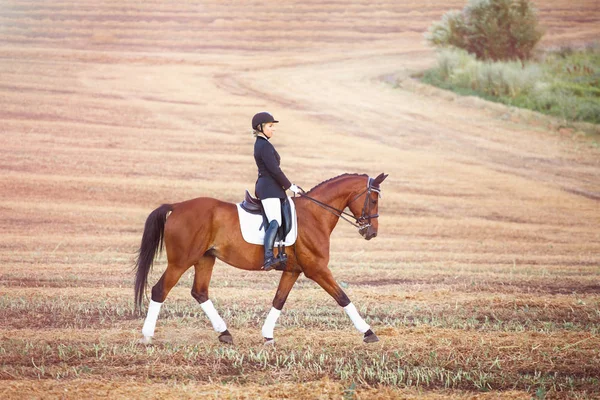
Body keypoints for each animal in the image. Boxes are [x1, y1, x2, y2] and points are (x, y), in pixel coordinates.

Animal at [135, 172, 390, 344]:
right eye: (374, 200)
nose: (371, 232)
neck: (315, 214)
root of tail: (177, 206)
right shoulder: (316, 269)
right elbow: (343, 297)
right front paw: (368, 332)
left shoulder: (292, 270)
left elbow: (279, 300)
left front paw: (267, 335)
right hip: (181, 261)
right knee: (160, 290)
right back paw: (147, 335)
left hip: (205, 259)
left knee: (200, 292)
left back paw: (225, 333)